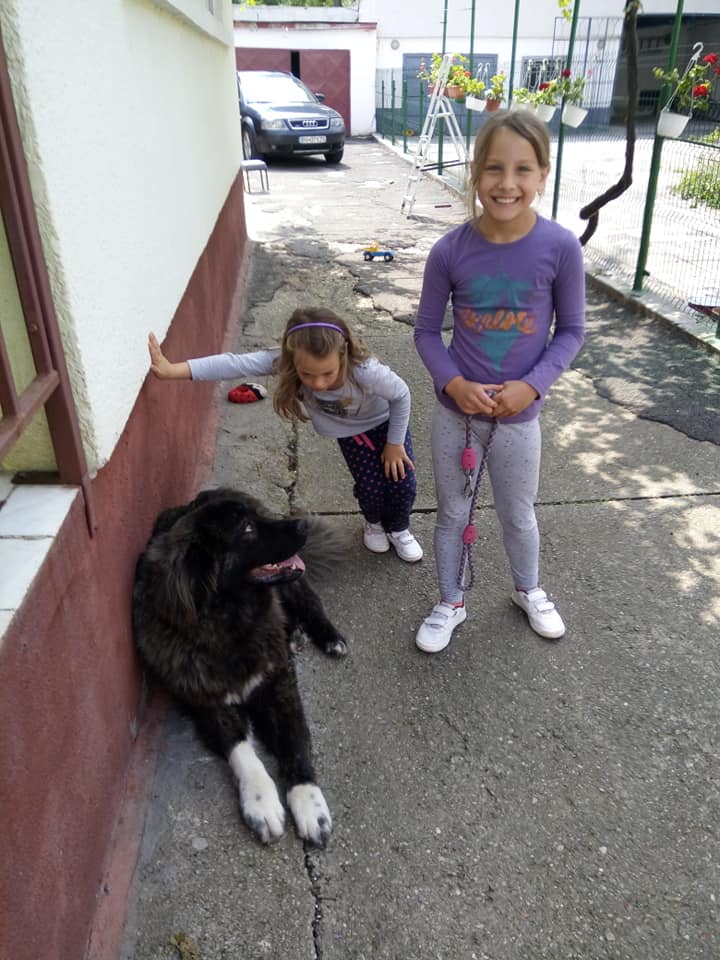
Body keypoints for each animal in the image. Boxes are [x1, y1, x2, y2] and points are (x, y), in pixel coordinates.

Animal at [132, 487, 348, 847]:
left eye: (257, 518)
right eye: (247, 529)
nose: (302, 524)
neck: (233, 624)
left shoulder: (281, 683)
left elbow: (295, 741)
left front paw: (309, 802)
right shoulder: (207, 701)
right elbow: (241, 749)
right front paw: (261, 803)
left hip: (291, 585)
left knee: (310, 602)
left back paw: (328, 636)